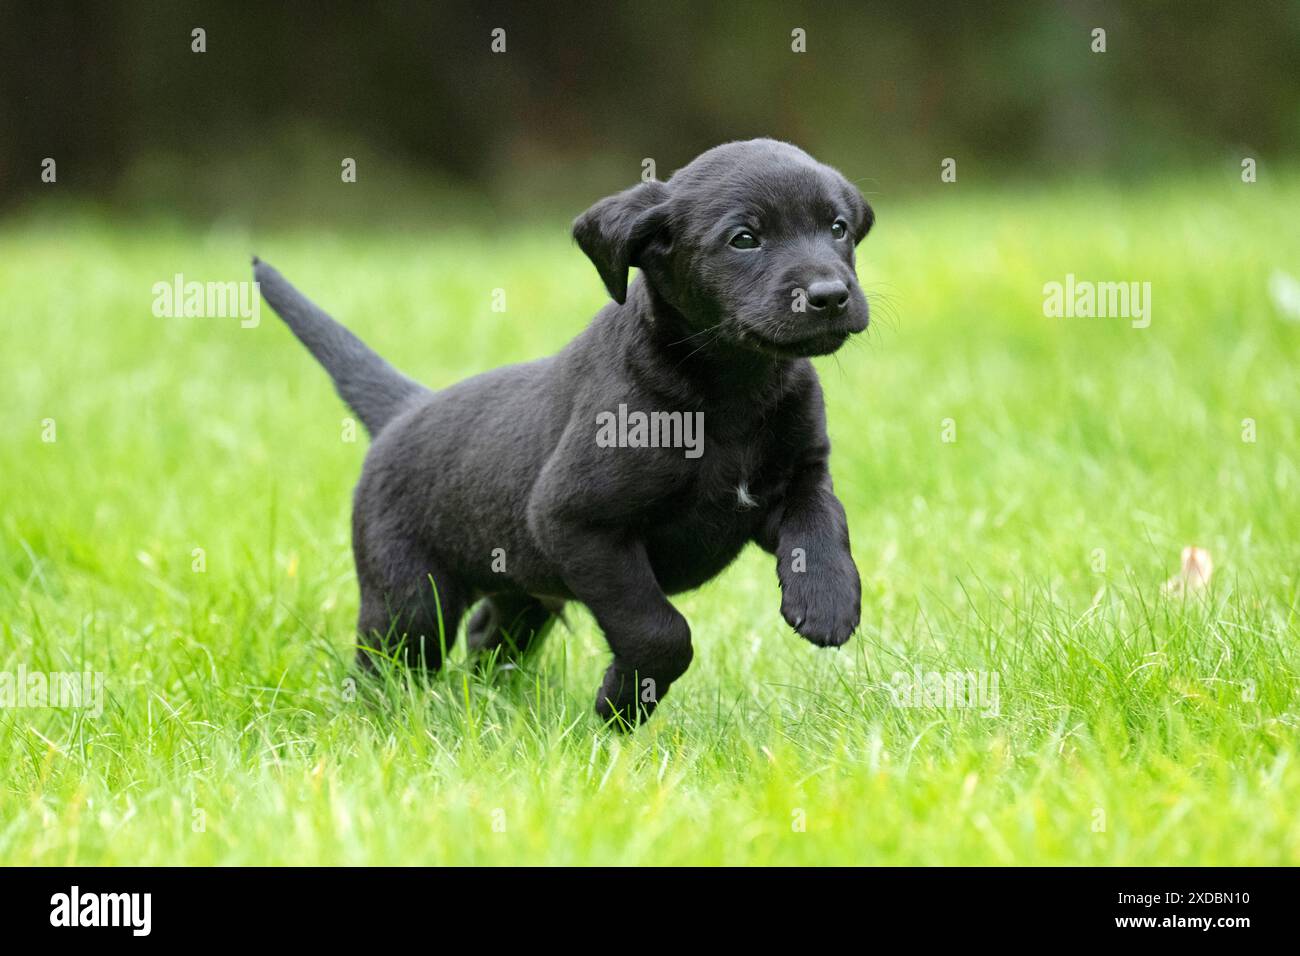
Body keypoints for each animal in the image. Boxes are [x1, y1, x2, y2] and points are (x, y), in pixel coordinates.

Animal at [256, 138, 873, 728]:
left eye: (837, 228)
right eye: (744, 239)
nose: (830, 295)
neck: (732, 390)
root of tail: (406, 407)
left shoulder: (798, 476)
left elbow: (823, 524)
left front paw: (827, 600)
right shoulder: (575, 521)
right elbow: (658, 630)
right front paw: (621, 704)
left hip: (519, 591)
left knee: (487, 634)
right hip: (410, 599)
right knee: (386, 664)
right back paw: (379, 721)